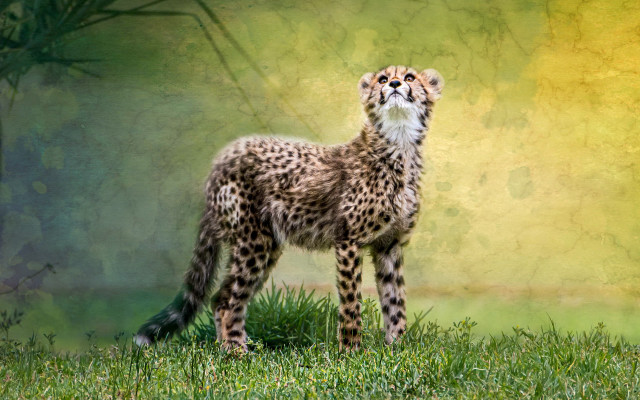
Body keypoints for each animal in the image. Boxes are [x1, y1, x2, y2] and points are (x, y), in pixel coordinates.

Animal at [135, 65, 444, 352]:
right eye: (383, 79)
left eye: (409, 78)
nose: (394, 84)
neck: (399, 143)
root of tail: (224, 156)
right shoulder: (348, 240)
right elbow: (351, 302)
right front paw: (351, 351)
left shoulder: (389, 245)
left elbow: (395, 300)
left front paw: (398, 349)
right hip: (253, 240)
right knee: (226, 300)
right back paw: (236, 353)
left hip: (266, 243)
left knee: (223, 296)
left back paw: (233, 348)